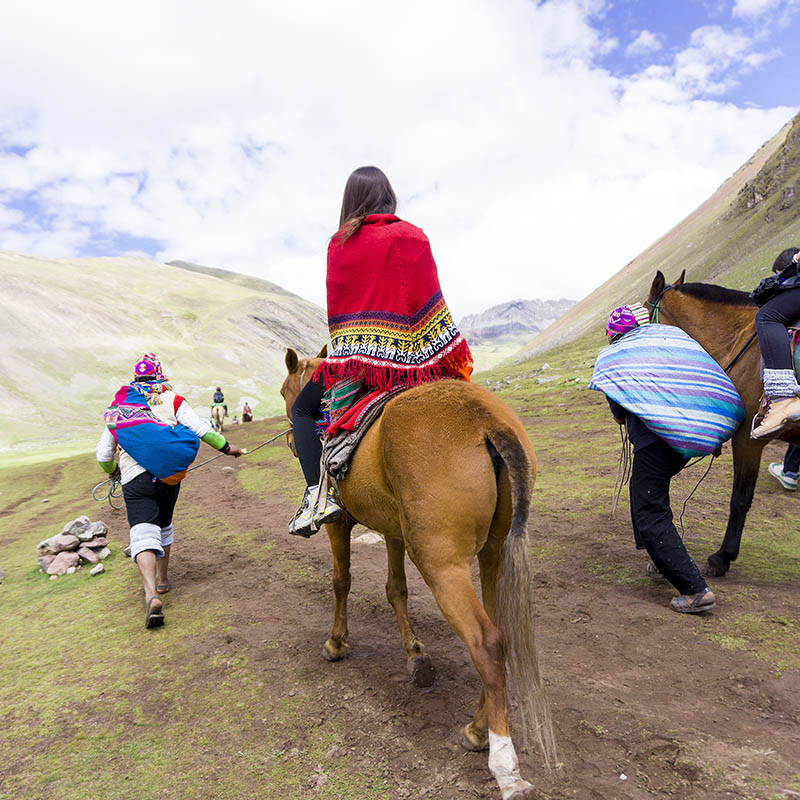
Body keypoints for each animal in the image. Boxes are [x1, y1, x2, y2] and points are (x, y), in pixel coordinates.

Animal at [282, 346, 556, 800]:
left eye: (286, 392)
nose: (289, 438)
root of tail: (487, 420)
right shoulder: (393, 529)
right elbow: (396, 589)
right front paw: (414, 654)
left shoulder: (340, 524)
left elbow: (341, 581)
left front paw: (336, 643)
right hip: (493, 554)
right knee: (498, 635)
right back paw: (477, 728)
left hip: (441, 564)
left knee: (485, 642)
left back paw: (503, 763)